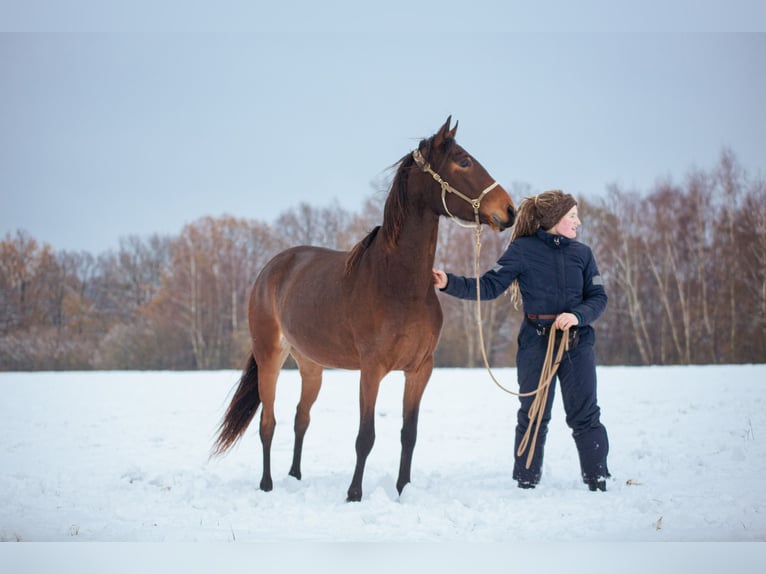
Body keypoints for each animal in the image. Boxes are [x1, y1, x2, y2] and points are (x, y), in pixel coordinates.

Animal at [213, 118, 520, 504]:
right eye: (463, 161)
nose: (509, 210)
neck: (399, 283)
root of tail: (270, 270)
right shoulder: (371, 369)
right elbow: (366, 436)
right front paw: (354, 494)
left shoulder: (420, 369)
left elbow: (409, 433)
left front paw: (402, 490)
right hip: (270, 358)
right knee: (268, 423)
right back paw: (267, 485)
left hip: (311, 366)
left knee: (301, 418)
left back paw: (295, 477)